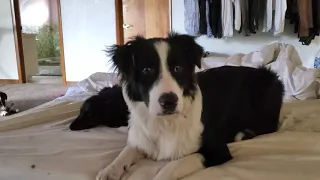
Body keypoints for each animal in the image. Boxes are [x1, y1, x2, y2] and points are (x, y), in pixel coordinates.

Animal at [69, 33, 282, 180]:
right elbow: (126, 152)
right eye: (146, 70)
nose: (169, 102)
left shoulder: (217, 150)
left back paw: (242, 133)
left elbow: (175, 164)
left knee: (269, 125)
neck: (165, 122)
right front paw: (110, 169)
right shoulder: (143, 140)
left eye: (178, 68)